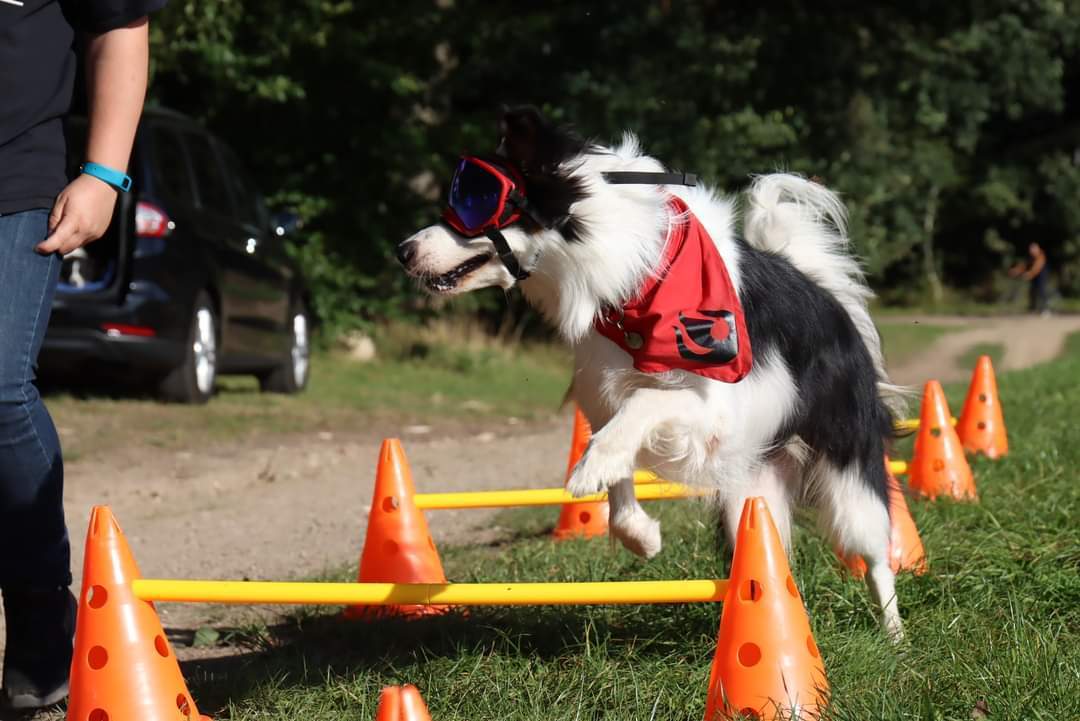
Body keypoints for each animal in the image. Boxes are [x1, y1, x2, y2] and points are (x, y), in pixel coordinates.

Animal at [397, 107, 907, 639]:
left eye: (475, 204)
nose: (402, 250)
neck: (628, 279)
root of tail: (827, 294)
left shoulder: (713, 404)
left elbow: (643, 404)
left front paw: (589, 471)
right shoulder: (604, 391)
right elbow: (618, 450)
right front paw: (640, 535)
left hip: (846, 472)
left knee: (875, 551)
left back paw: (893, 636)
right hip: (750, 489)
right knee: (765, 552)